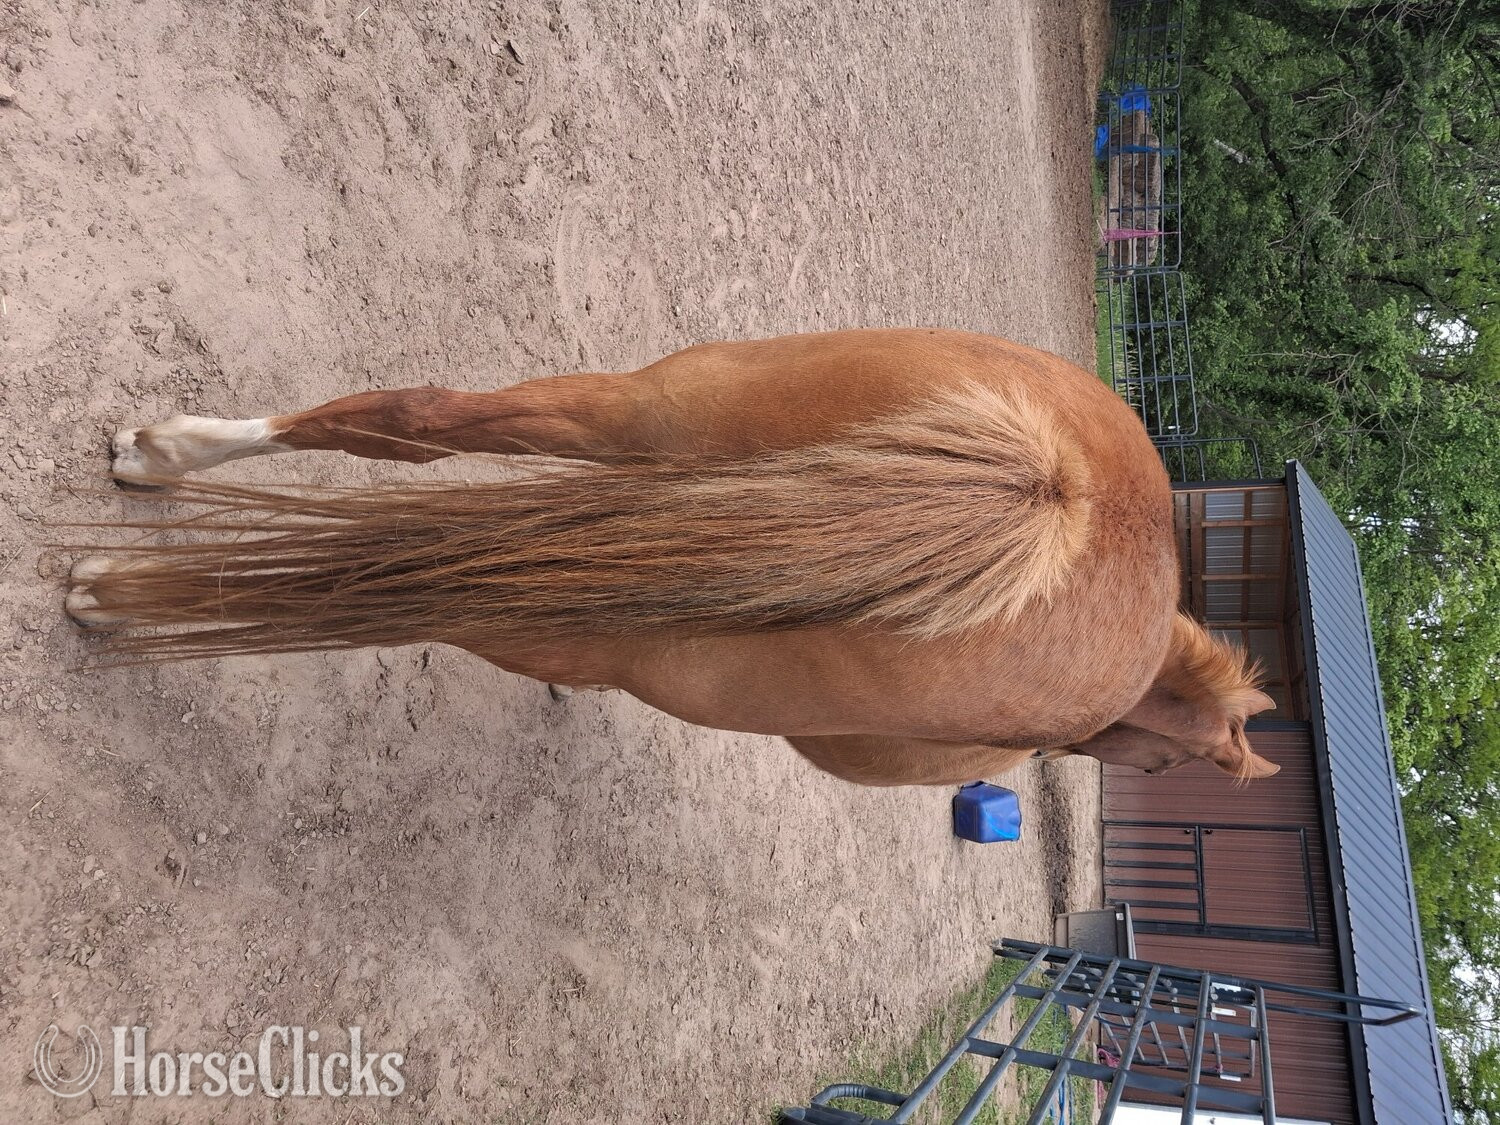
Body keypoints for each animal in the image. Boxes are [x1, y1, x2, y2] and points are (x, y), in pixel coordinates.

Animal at [64, 327, 1279, 786]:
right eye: (1163, 764)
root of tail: (1054, 490)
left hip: (644, 410)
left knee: (413, 429)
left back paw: (153, 474)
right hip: (631, 623)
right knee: (413, 593)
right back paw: (116, 592)